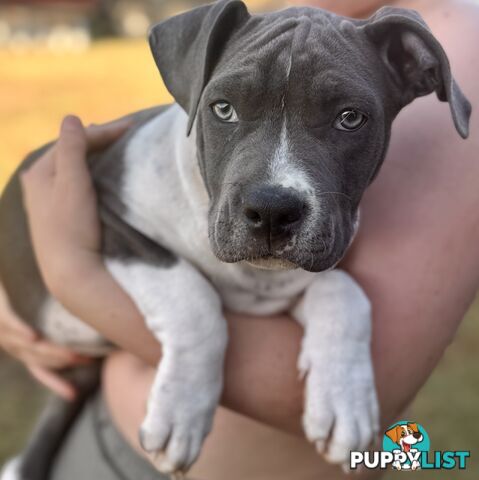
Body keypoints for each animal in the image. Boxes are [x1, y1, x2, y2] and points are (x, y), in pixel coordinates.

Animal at [0, 0, 472, 476]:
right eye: (223, 109)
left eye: (350, 118)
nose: (272, 210)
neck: (253, 277)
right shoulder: (107, 212)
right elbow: (193, 296)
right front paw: (180, 414)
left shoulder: (293, 279)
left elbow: (345, 290)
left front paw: (345, 402)